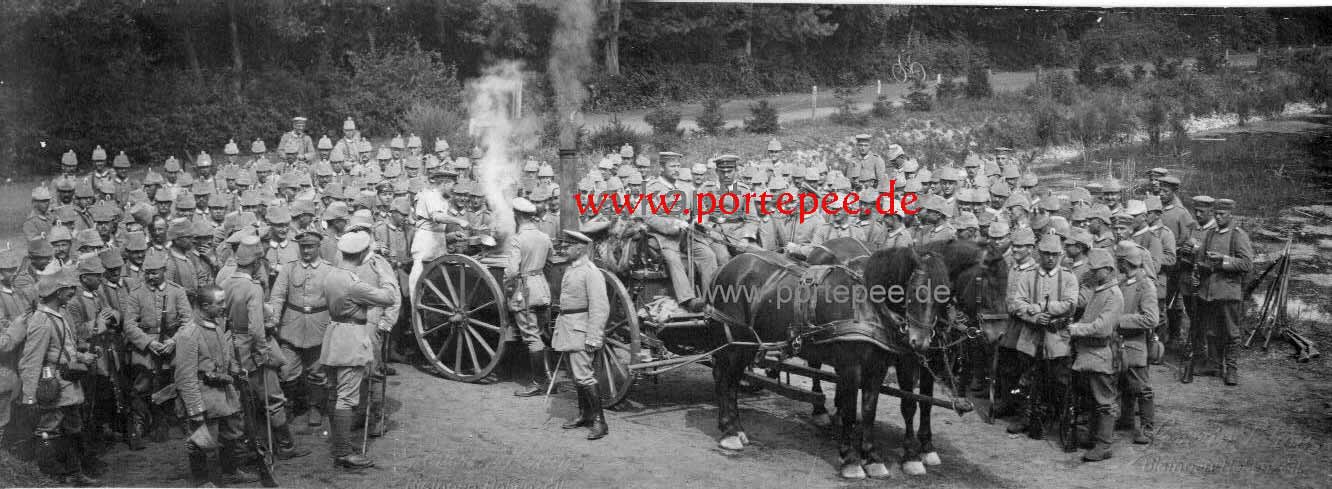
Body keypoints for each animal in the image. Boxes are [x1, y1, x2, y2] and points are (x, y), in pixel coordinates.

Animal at [707, 248, 947, 479]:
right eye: (918, 292)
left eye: (943, 297)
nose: (921, 342)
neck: (867, 307)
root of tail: (727, 265)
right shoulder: (851, 367)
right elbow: (850, 411)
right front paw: (851, 460)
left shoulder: (876, 369)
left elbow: (869, 411)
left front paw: (873, 458)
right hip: (735, 340)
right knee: (723, 378)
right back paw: (729, 432)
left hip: (747, 344)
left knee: (731, 381)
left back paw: (736, 429)